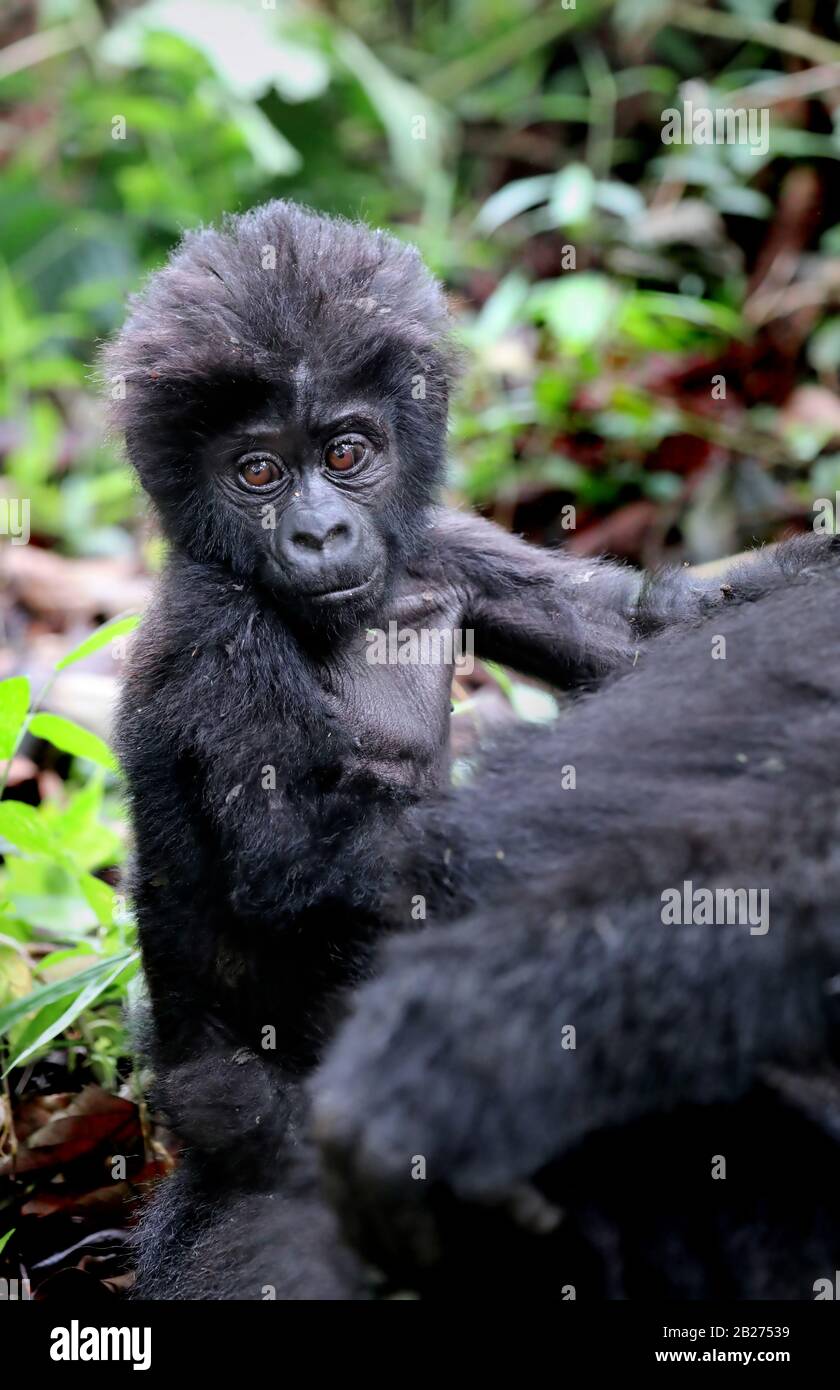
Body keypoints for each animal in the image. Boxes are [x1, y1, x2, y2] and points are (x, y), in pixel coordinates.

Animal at [105, 198, 723, 1289]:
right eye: (257, 471)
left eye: (346, 454)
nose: (316, 533)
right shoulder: (220, 628)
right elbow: (295, 853)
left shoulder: (442, 546)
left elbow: (649, 630)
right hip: (218, 1105)